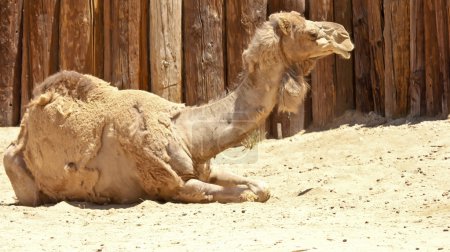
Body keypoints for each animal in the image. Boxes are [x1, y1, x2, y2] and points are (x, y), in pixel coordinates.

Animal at [4, 10, 356, 206]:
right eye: (312, 33)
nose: (346, 36)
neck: (184, 131)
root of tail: (20, 136)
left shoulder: (203, 167)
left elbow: (261, 187)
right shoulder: (173, 185)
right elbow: (242, 194)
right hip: (22, 180)